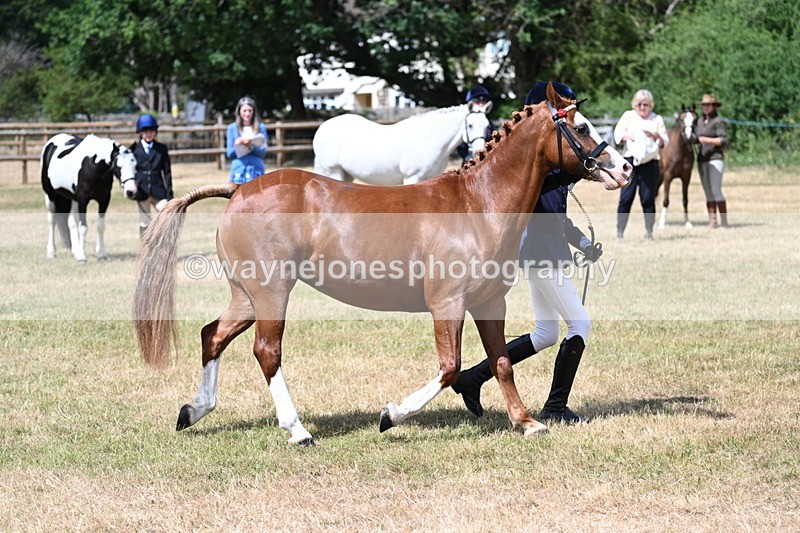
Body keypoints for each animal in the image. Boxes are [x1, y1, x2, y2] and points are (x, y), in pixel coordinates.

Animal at [41, 133, 138, 263]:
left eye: (135, 165)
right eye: (118, 166)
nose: (131, 191)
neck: (93, 166)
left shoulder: (104, 200)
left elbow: (100, 226)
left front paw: (101, 255)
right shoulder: (83, 201)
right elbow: (83, 227)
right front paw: (82, 257)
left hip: (73, 199)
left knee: (71, 221)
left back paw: (75, 251)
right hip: (50, 195)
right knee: (52, 221)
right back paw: (52, 252)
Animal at [312, 103, 491, 185]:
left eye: (487, 125)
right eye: (470, 125)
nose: (479, 149)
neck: (428, 139)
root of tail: (322, 127)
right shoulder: (412, 178)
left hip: (346, 175)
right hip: (334, 171)